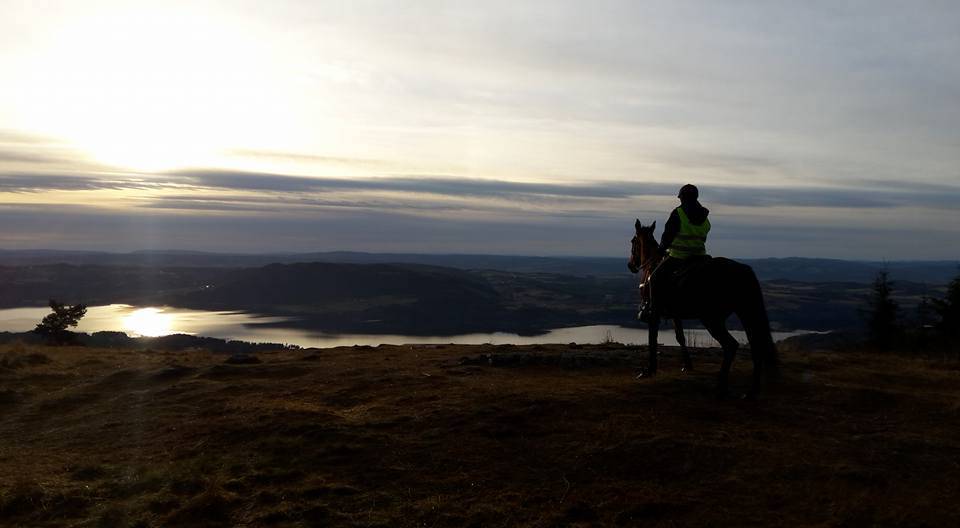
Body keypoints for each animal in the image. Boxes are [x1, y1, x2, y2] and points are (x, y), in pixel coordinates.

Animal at [627, 219, 779, 398]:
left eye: (633, 241)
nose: (631, 265)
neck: (652, 265)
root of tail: (742, 270)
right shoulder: (675, 315)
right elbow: (680, 337)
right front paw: (687, 364)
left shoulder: (654, 315)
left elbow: (653, 340)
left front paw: (649, 370)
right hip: (746, 313)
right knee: (756, 347)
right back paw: (751, 392)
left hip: (712, 319)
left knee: (731, 345)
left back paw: (721, 385)